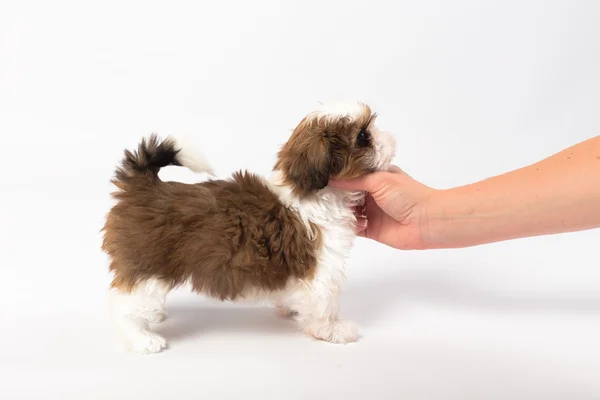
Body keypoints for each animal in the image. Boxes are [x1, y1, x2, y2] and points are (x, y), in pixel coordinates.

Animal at [101, 101, 396, 354]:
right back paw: (141, 339)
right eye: (363, 136)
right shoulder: (322, 268)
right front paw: (332, 330)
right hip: (148, 266)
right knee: (124, 305)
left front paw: (291, 308)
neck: (313, 193)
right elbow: (325, 302)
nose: (391, 138)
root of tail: (143, 185)